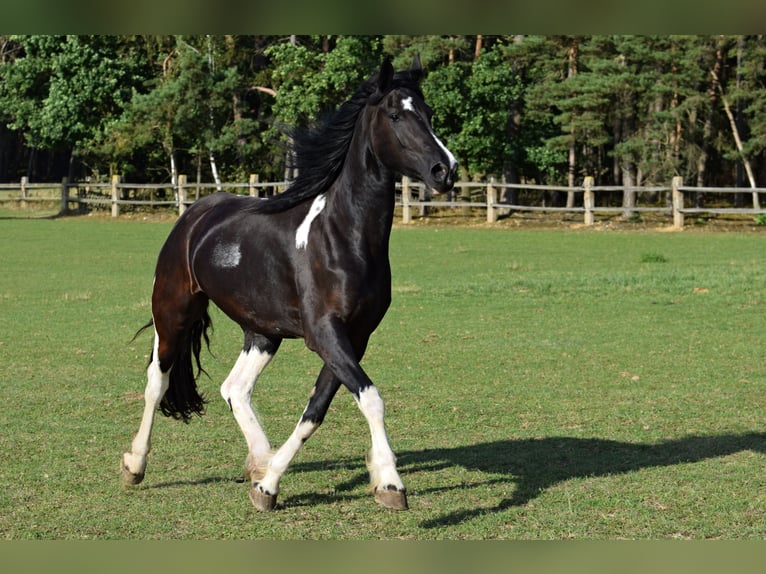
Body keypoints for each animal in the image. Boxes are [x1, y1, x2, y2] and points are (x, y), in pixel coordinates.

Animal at [120, 56, 456, 510]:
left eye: (429, 114)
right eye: (396, 115)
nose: (446, 170)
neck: (342, 236)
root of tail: (195, 215)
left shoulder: (355, 337)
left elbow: (316, 410)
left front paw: (269, 484)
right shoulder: (325, 334)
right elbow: (371, 398)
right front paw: (391, 482)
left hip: (263, 332)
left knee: (235, 389)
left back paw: (259, 461)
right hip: (172, 312)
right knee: (158, 382)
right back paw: (135, 465)